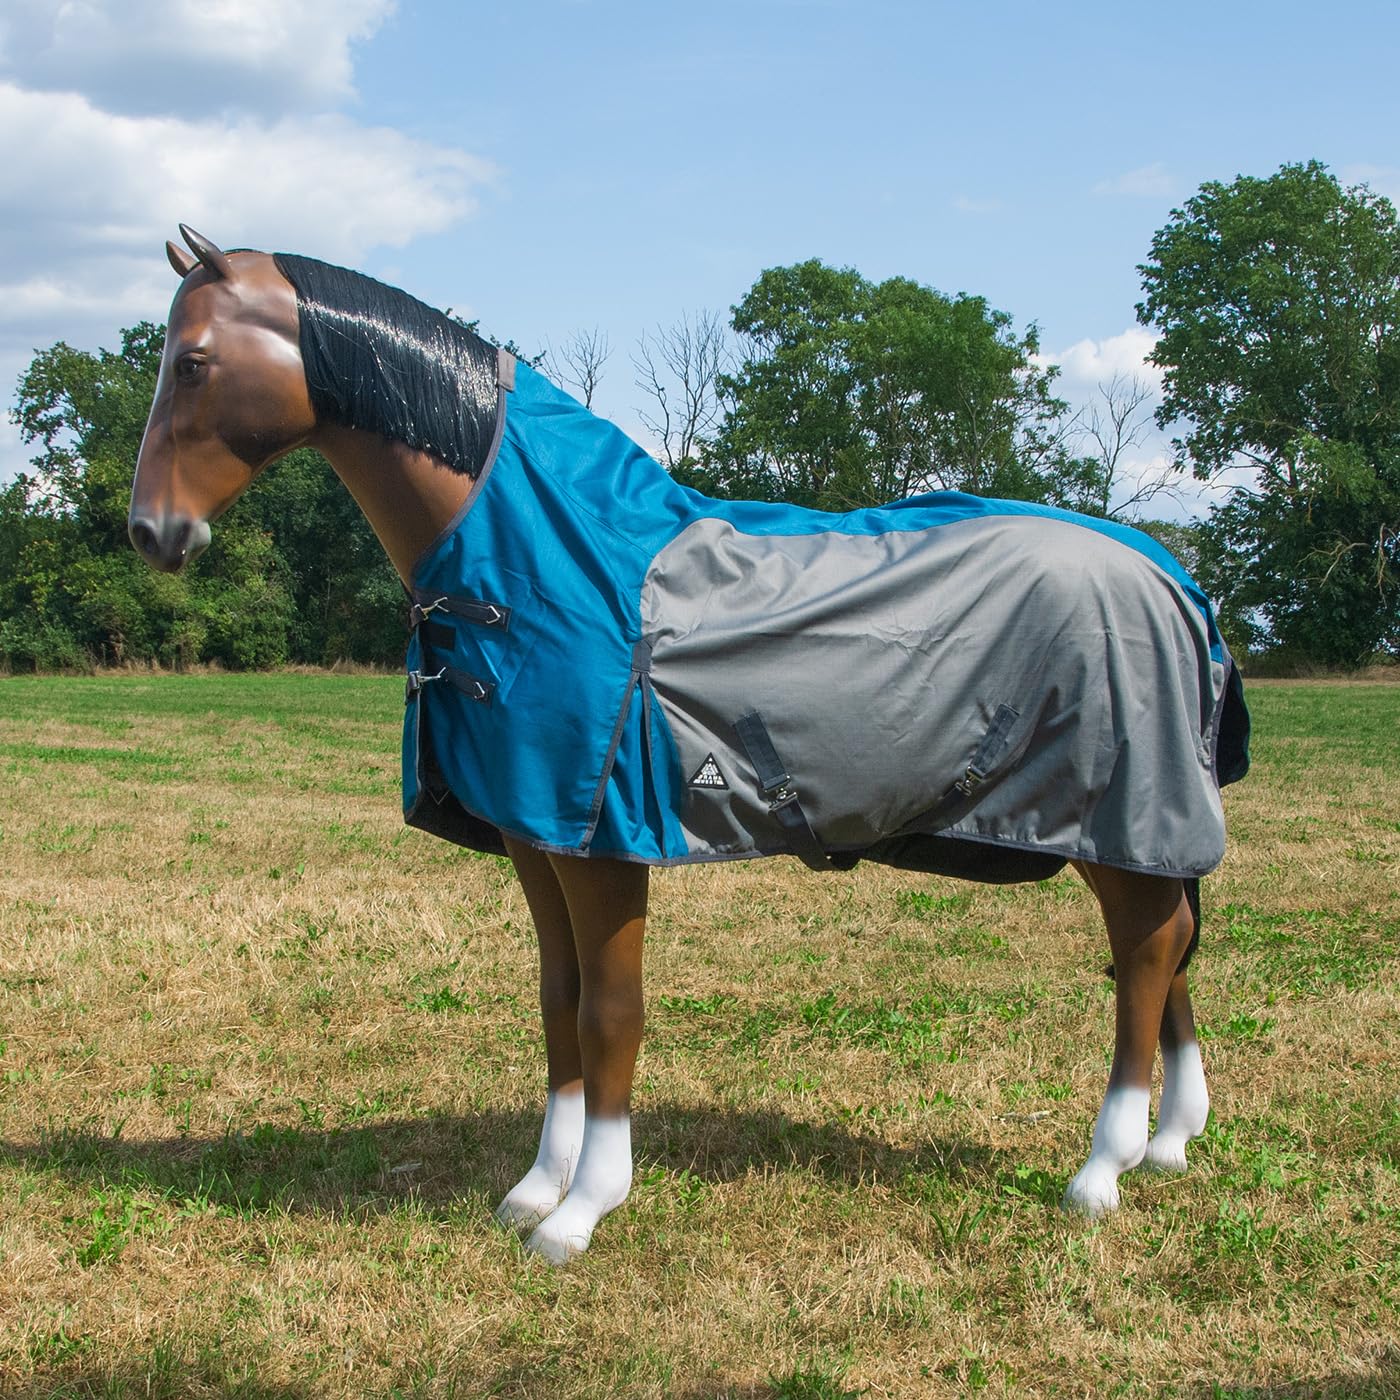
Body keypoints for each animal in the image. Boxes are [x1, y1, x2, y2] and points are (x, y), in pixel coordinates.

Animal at [130, 226, 1249, 1264]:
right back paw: (1167, 1143)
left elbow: (609, 1015)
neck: (537, 560)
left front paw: (582, 1209)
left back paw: (1101, 1169)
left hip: (1114, 816)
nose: (151, 533)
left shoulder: (603, 846)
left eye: (193, 361)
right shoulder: (536, 839)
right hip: (1119, 833)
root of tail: (1174, 579)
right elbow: (558, 1003)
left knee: (1145, 958)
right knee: (1165, 952)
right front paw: (534, 1189)